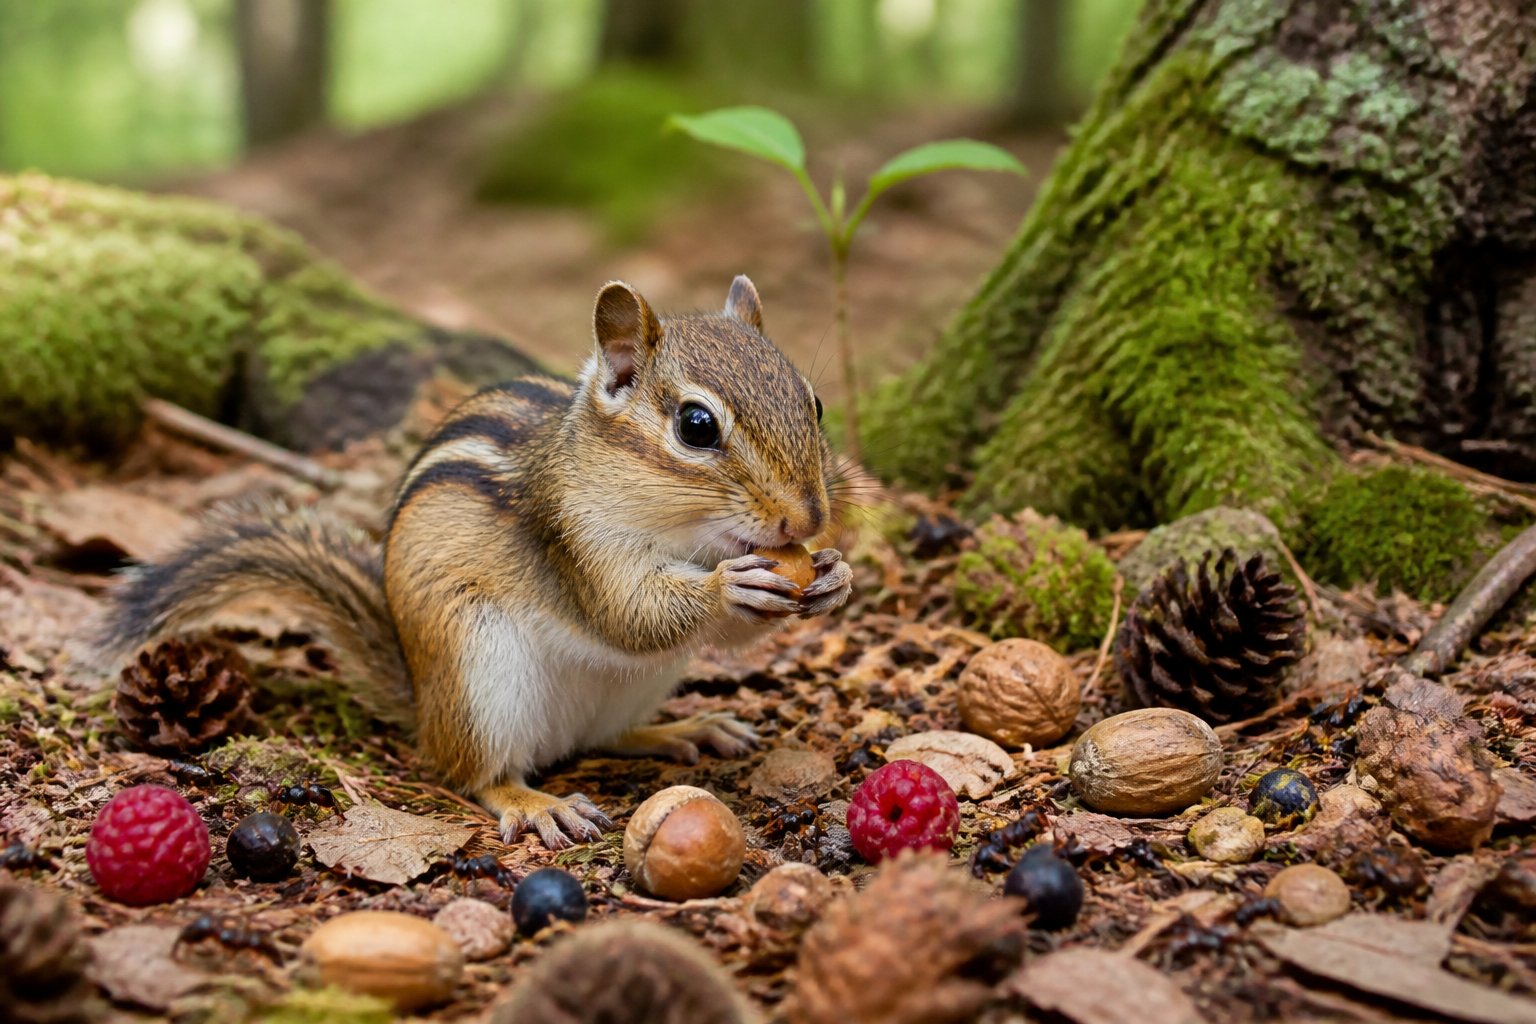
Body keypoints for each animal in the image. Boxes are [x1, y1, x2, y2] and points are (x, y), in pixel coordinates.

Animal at [95, 276, 853, 848]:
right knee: (474, 774)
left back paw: (684, 728)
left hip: (634, 686)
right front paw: (732, 586)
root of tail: (423, 702)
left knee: (606, 735)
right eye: (696, 427)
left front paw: (834, 577)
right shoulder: (573, 541)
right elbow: (629, 616)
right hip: (480, 671)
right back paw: (536, 803)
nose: (808, 519)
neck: (685, 535)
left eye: (815, 403)